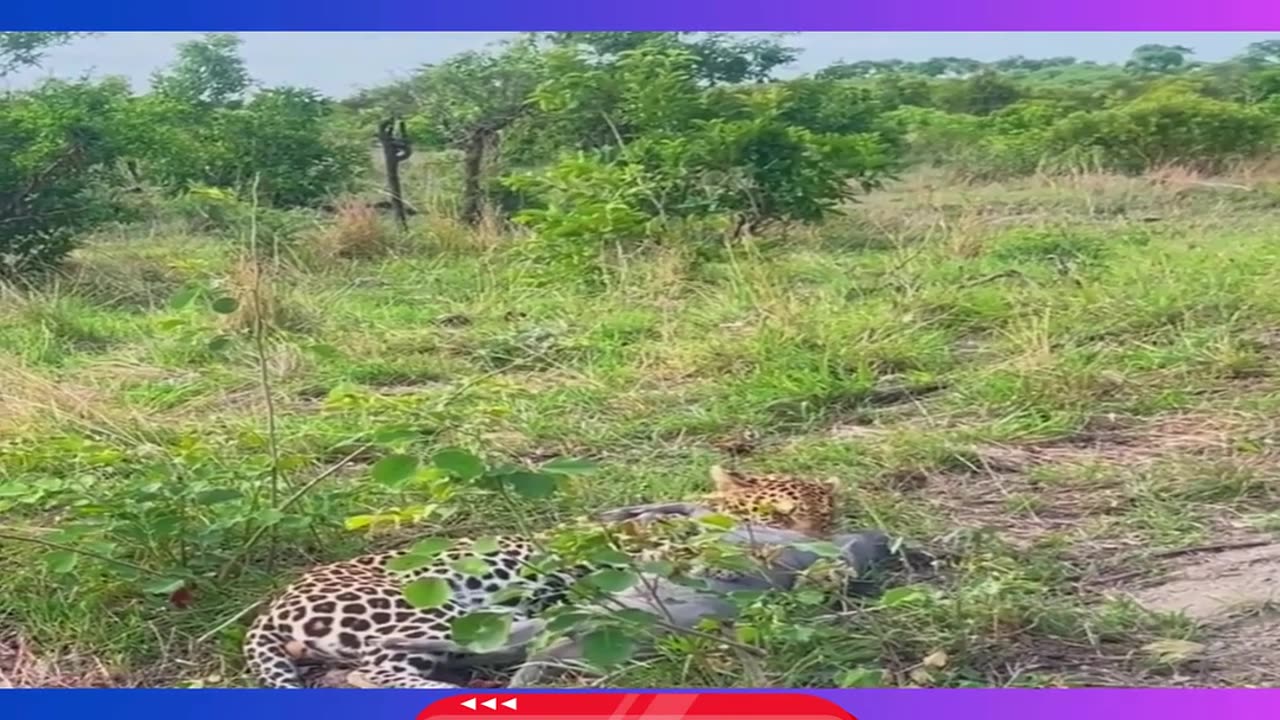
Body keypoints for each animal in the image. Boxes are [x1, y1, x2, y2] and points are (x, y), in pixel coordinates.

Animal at [242, 465, 839, 689]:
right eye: (780, 511)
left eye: (826, 513)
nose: (816, 535)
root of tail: (268, 611)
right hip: (433, 608)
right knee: (379, 668)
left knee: (366, 675)